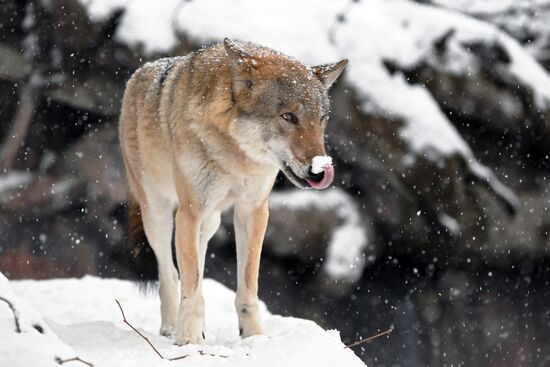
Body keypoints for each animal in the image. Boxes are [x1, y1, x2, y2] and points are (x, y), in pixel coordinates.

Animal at [119, 38, 350, 346]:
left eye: (321, 119)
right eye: (289, 116)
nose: (320, 170)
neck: (236, 157)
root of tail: (139, 73)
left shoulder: (253, 211)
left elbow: (247, 286)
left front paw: (254, 337)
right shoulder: (190, 211)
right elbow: (189, 283)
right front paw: (189, 340)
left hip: (210, 222)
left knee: (195, 262)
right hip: (158, 215)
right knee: (169, 273)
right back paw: (171, 328)